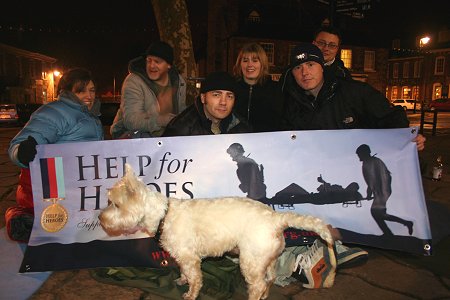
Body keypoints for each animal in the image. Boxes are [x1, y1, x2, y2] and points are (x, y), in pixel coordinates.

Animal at [99, 164, 338, 300]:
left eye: (115, 204)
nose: (101, 219)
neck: (163, 215)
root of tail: (276, 218)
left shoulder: (190, 258)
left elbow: (195, 279)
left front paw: (190, 294)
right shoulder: (183, 257)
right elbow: (185, 273)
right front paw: (181, 280)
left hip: (249, 262)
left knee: (258, 285)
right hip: (264, 258)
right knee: (268, 279)